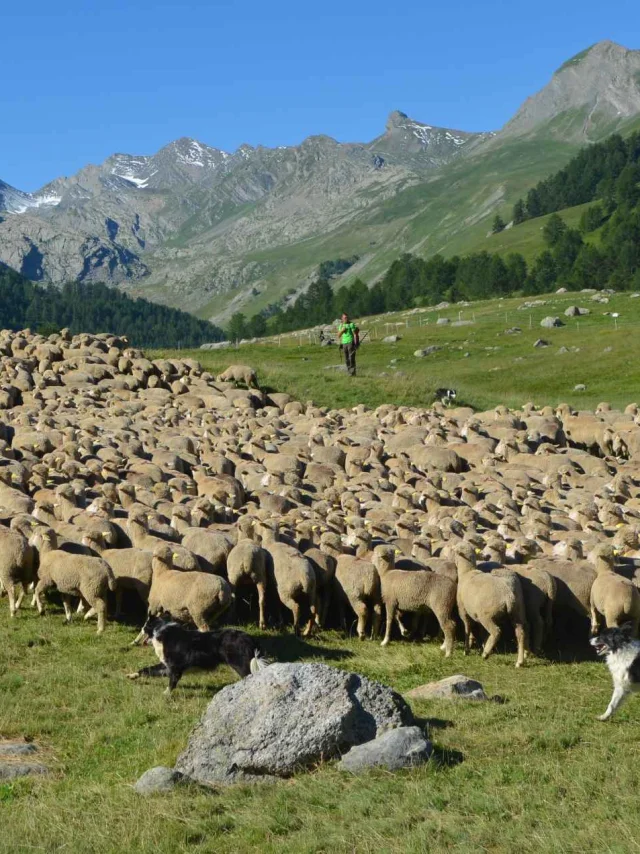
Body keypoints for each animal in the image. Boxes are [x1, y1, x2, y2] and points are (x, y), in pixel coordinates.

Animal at [452, 540, 528, 668]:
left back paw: (486, 654)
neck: (467, 572)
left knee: (496, 632)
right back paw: (519, 661)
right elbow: (482, 632)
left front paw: (467, 650)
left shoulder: (463, 610)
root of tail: (508, 594)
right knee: (520, 633)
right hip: (517, 612)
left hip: (487, 615)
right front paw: (482, 644)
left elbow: (467, 628)